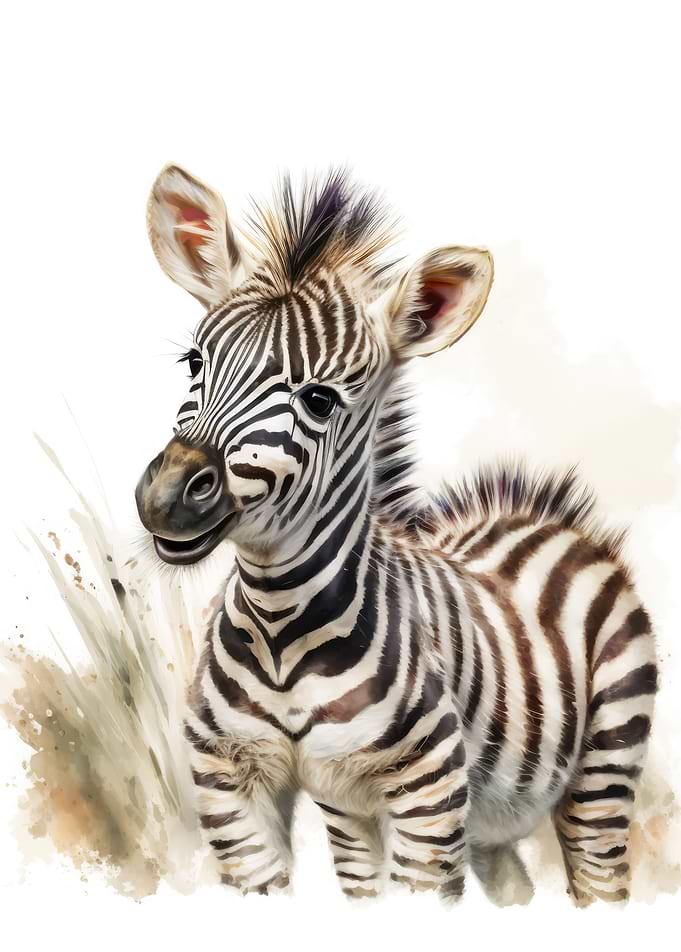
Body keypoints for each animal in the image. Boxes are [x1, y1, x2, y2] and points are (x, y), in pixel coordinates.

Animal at [135, 163, 657, 905]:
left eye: (319, 400)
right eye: (194, 363)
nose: (168, 496)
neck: (278, 629)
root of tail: (545, 519)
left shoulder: (429, 792)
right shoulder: (240, 784)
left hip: (602, 771)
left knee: (600, 877)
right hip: (478, 821)